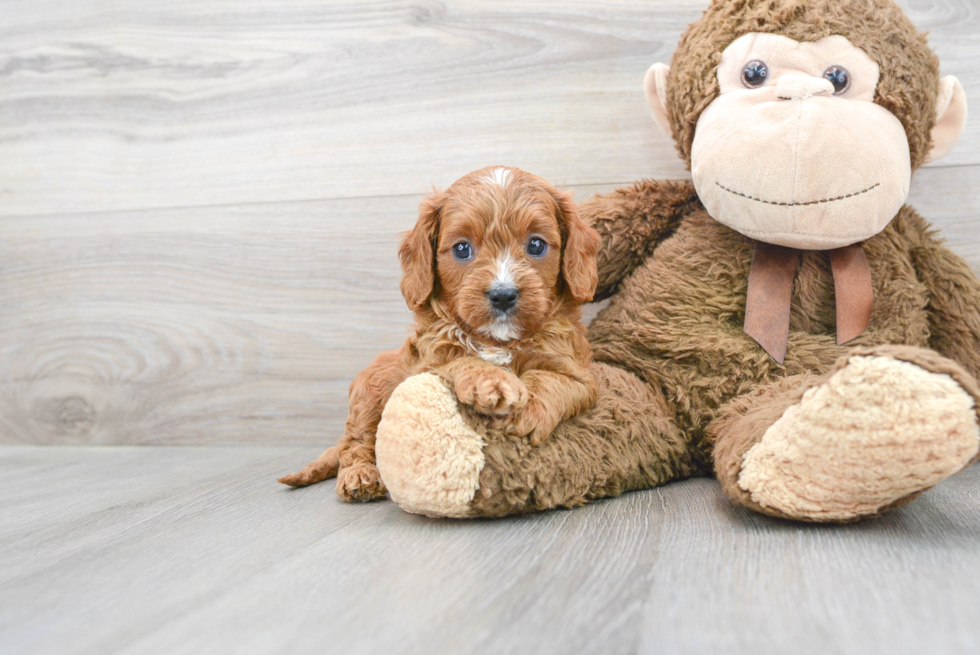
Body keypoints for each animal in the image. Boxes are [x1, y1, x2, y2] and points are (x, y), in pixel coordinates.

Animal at [276, 165, 596, 502]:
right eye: (462, 248)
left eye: (536, 245)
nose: (503, 295)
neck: (496, 340)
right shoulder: (425, 365)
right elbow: (459, 360)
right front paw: (491, 381)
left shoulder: (578, 373)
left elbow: (551, 379)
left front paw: (525, 409)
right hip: (370, 391)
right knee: (356, 442)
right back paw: (360, 476)